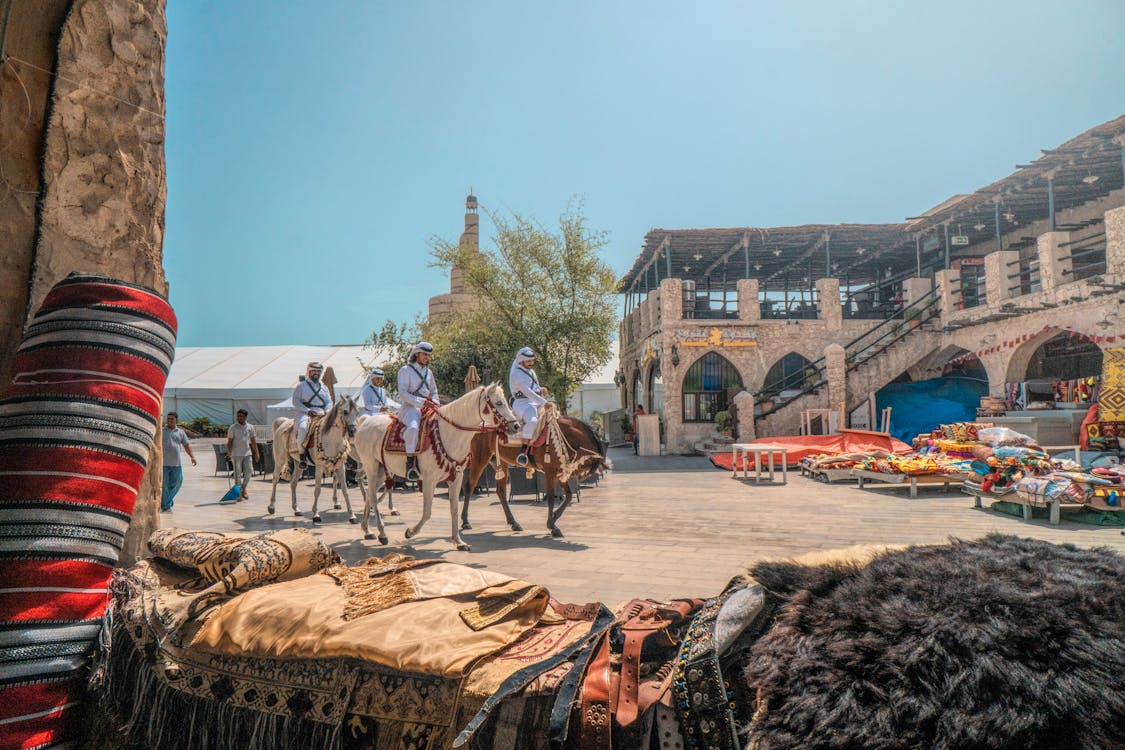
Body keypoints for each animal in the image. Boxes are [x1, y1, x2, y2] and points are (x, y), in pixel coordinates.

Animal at [268, 395, 360, 526]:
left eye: (357, 412)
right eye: (345, 411)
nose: (353, 432)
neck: (332, 439)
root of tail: (283, 423)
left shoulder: (340, 465)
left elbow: (345, 490)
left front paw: (352, 516)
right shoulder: (320, 466)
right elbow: (317, 489)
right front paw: (316, 514)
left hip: (299, 464)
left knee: (293, 483)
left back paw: (296, 509)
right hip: (280, 460)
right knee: (275, 479)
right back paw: (271, 507)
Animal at [351, 386, 517, 550]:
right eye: (499, 403)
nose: (516, 425)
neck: (449, 433)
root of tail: (365, 422)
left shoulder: (456, 478)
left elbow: (454, 509)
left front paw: (458, 541)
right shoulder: (429, 480)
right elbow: (427, 512)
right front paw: (410, 532)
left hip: (381, 471)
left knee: (369, 494)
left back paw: (367, 530)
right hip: (371, 468)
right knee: (372, 496)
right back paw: (382, 533)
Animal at [456, 413, 612, 537]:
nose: (579, 476)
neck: (562, 435)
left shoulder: (559, 471)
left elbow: (568, 496)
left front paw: (554, 518)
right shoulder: (551, 473)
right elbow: (551, 498)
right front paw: (552, 525)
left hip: (501, 462)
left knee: (500, 491)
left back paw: (513, 522)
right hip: (480, 458)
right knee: (469, 486)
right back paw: (465, 521)